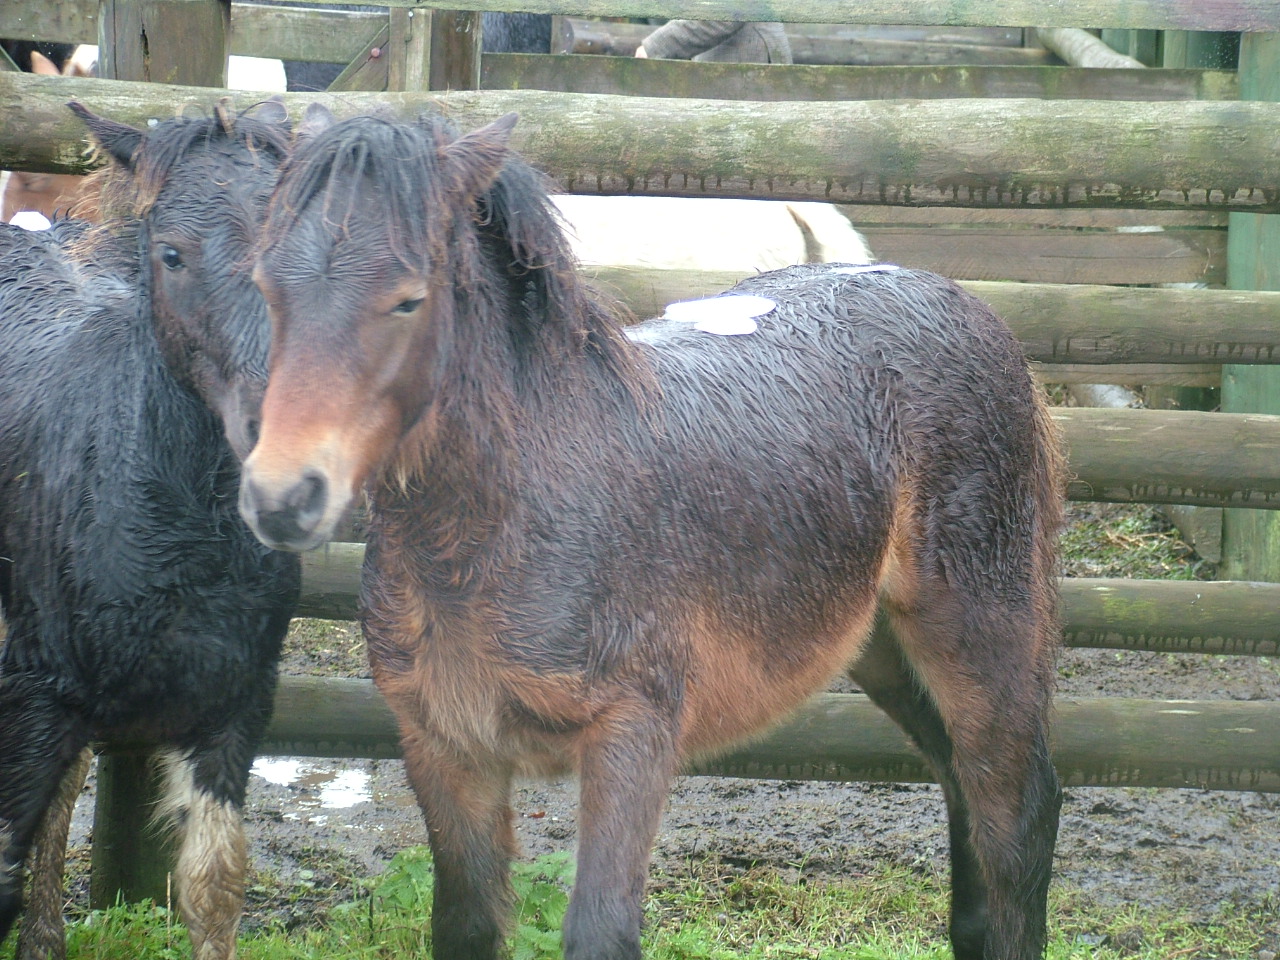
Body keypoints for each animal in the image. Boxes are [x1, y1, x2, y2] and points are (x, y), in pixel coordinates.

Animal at [238, 107, 1066, 960]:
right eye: (266, 286)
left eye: (408, 300)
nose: (282, 496)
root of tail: (955, 296)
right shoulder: (444, 746)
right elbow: (466, 923)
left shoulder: (632, 735)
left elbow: (601, 928)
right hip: (882, 647)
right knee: (964, 790)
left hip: (979, 628)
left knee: (1017, 809)